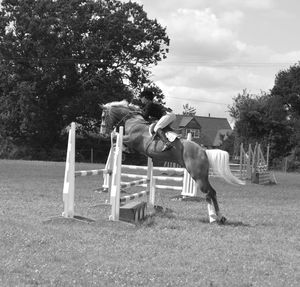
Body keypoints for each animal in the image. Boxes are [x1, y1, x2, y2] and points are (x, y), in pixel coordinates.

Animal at [99, 100, 245, 224]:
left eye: (103, 117)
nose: (102, 133)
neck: (133, 121)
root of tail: (203, 151)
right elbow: (120, 143)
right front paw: (123, 152)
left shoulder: (131, 139)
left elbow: (116, 139)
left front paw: (118, 147)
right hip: (202, 175)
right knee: (212, 192)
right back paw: (220, 217)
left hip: (197, 175)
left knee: (208, 193)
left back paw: (213, 218)